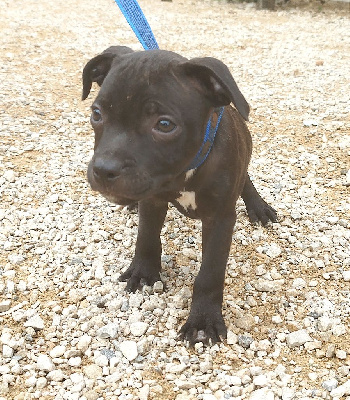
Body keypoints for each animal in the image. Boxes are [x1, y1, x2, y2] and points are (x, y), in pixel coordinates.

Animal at [82, 46, 276, 344]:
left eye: (164, 124)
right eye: (96, 113)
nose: (103, 170)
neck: (185, 171)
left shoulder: (220, 219)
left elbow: (210, 273)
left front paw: (203, 320)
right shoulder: (152, 200)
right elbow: (146, 237)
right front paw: (143, 272)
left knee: (246, 179)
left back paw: (258, 206)